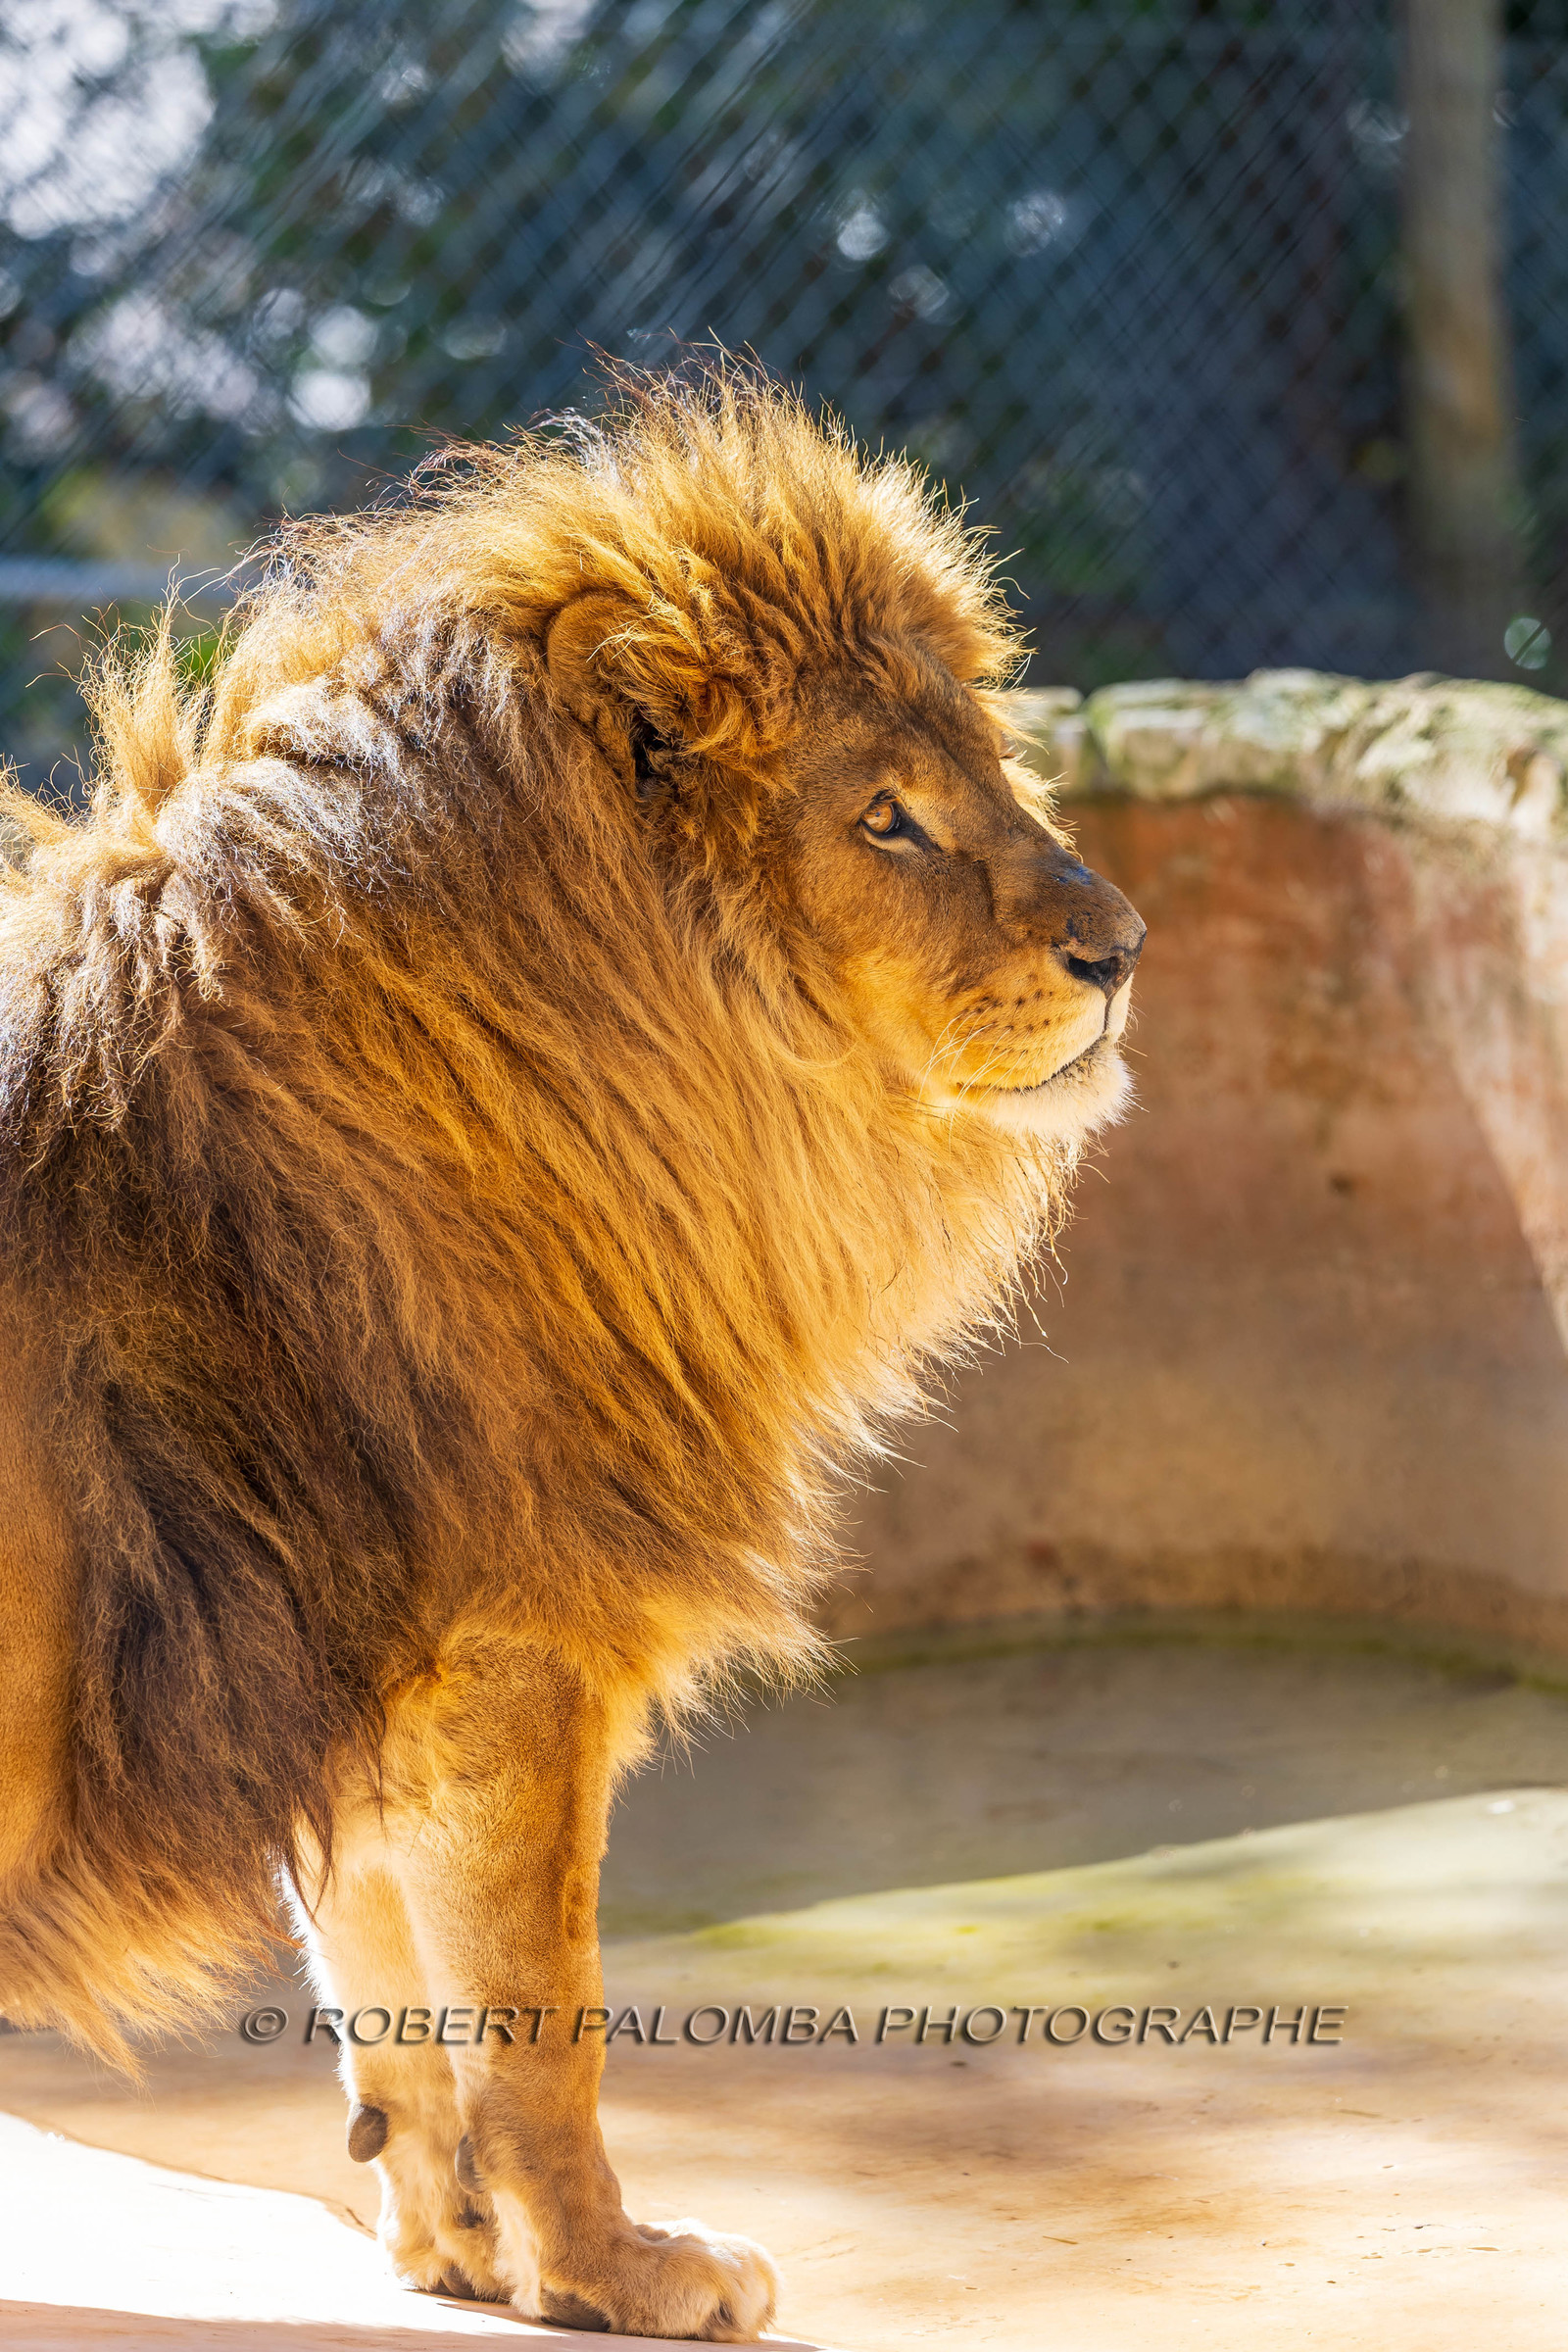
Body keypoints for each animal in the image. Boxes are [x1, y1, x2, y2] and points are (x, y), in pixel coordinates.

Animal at [0, 371, 1142, 2339]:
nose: (1123, 948)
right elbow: (548, 2026)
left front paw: (459, 2250)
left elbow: (387, 1990)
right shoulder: (510, 1647)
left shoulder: (373, 1671)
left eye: (989, 771)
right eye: (889, 818)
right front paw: (625, 2268)